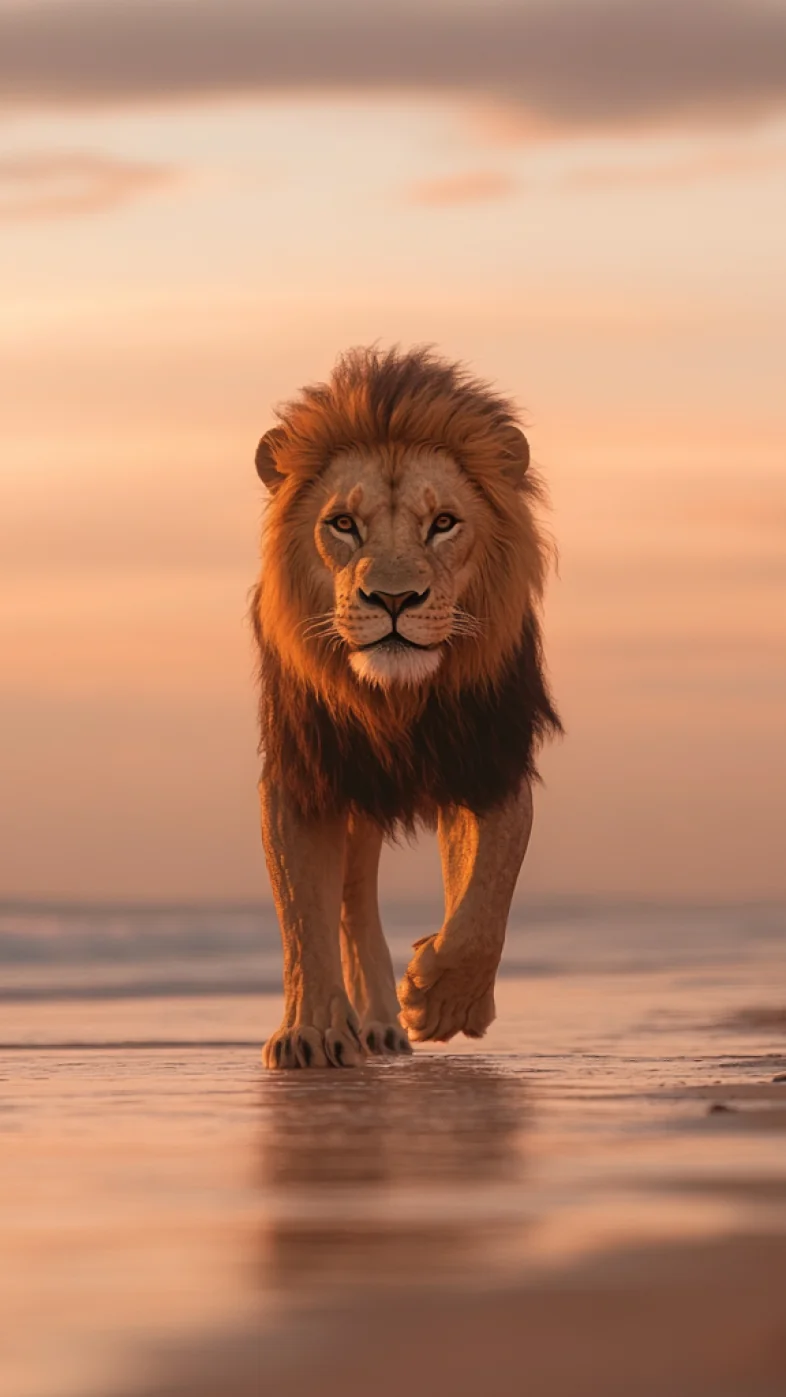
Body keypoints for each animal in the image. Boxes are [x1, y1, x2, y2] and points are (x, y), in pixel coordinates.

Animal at [251, 345, 561, 1068]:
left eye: (443, 523)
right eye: (343, 524)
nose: (393, 599)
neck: (397, 700)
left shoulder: (490, 757)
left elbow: (487, 891)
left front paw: (444, 998)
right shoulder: (306, 772)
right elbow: (302, 911)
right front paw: (312, 1031)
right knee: (350, 897)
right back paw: (365, 1024)